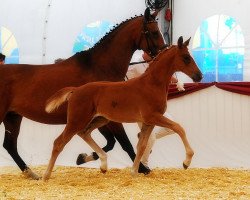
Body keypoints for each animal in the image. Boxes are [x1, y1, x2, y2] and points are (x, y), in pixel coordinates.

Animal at [0, 8, 166, 180]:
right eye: (154, 32)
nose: (164, 52)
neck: (99, 67)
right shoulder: (110, 118)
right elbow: (124, 143)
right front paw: (143, 169)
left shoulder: (99, 118)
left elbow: (110, 142)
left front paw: (83, 158)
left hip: (13, 116)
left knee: (10, 146)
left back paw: (31, 173)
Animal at [43, 36, 203, 180]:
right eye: (186, 57)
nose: (199, 76)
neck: (151, 84)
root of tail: (75, 90)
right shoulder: (153, 116)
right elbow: (178, 128)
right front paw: (186, 162)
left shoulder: (148, 122)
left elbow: (141, 146)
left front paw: (134, 172)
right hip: (77, 120)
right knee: (59, 142)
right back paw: (46, 176)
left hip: (101, 120)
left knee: (84, 133)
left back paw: (102, 164)